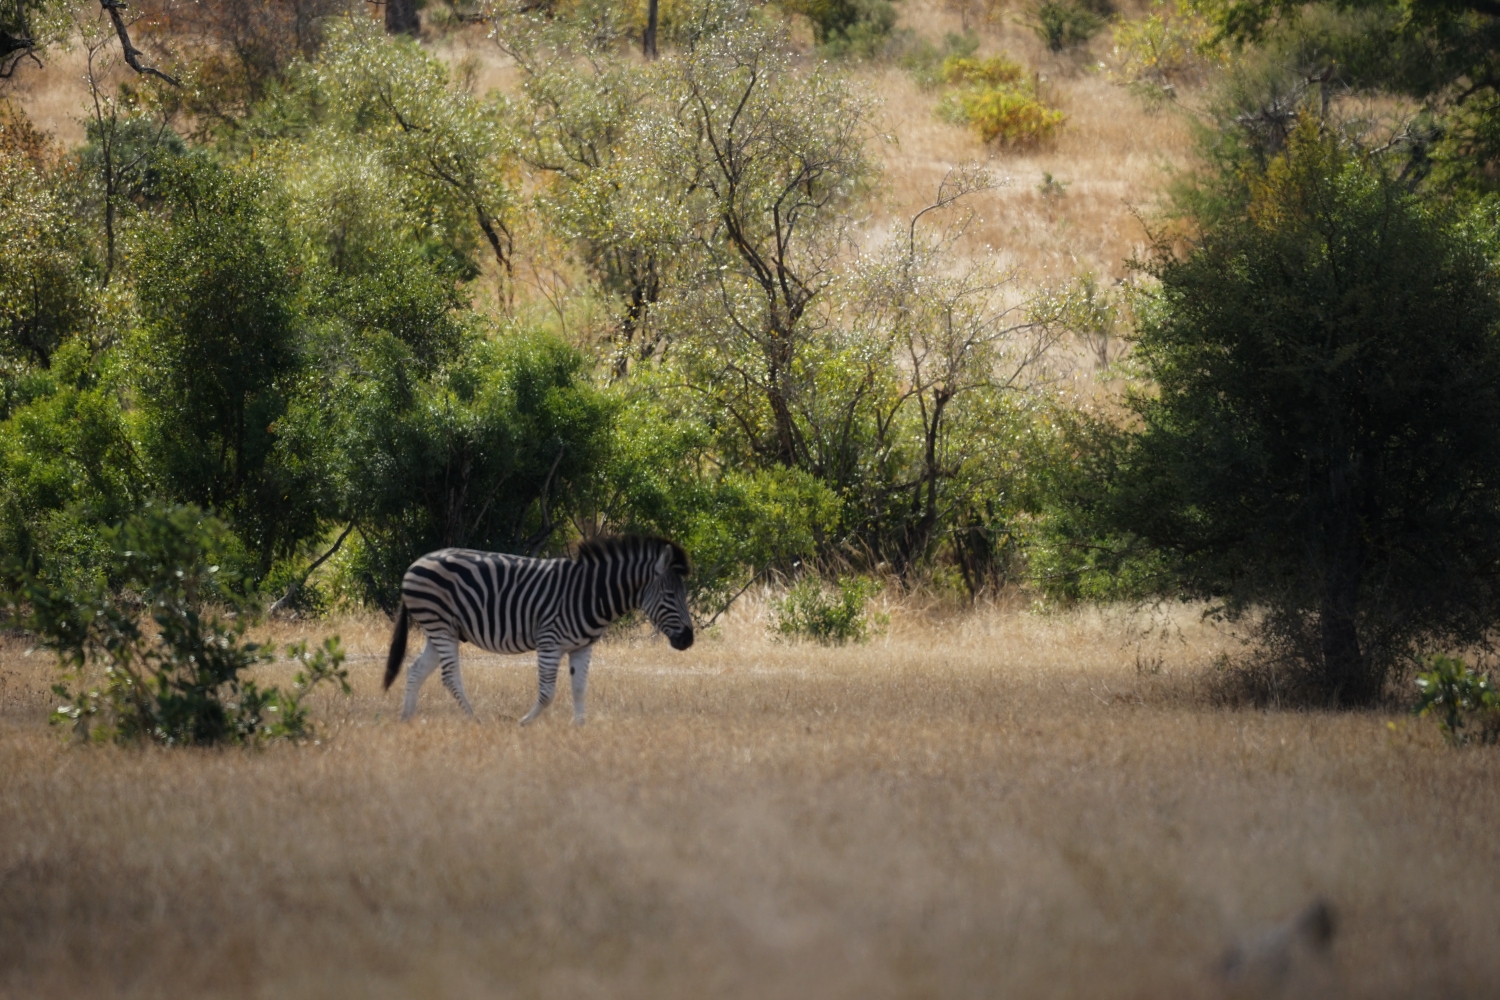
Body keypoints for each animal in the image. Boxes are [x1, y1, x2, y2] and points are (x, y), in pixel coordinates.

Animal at [384, 536, 693, 722]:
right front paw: (523, 724)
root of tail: (415, 563)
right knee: (449, 676)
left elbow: (579, 689)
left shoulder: (582, 647)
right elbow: (547, 694)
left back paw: (405, 719)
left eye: (683, 594)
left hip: (441, 630)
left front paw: (579, 730)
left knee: (416, 670)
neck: (590, 594)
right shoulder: (549, 642)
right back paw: (475, 720)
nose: (688, 640)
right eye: (670, 595)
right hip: (439, 624)